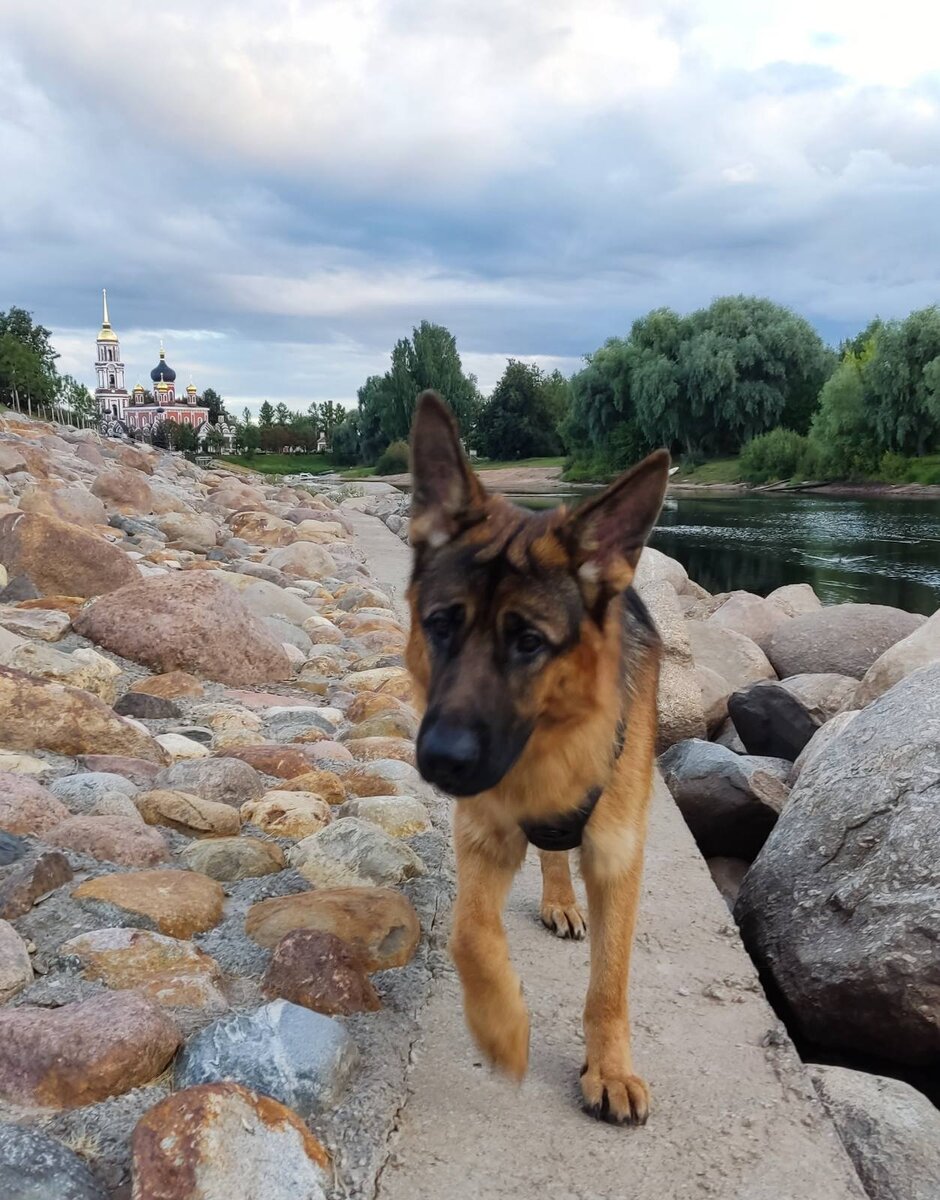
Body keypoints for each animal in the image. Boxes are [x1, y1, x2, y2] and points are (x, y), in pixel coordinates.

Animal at [403, 391, 667, 1123]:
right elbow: (469, 932)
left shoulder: (616, 856)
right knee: (548, 859)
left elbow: (611, 981)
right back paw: (557, 898)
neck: (550, 749)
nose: (441, 761)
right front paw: (502, 1029)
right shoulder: (482, 834)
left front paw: (609, 1068)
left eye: (528, 642)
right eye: (440, 624)